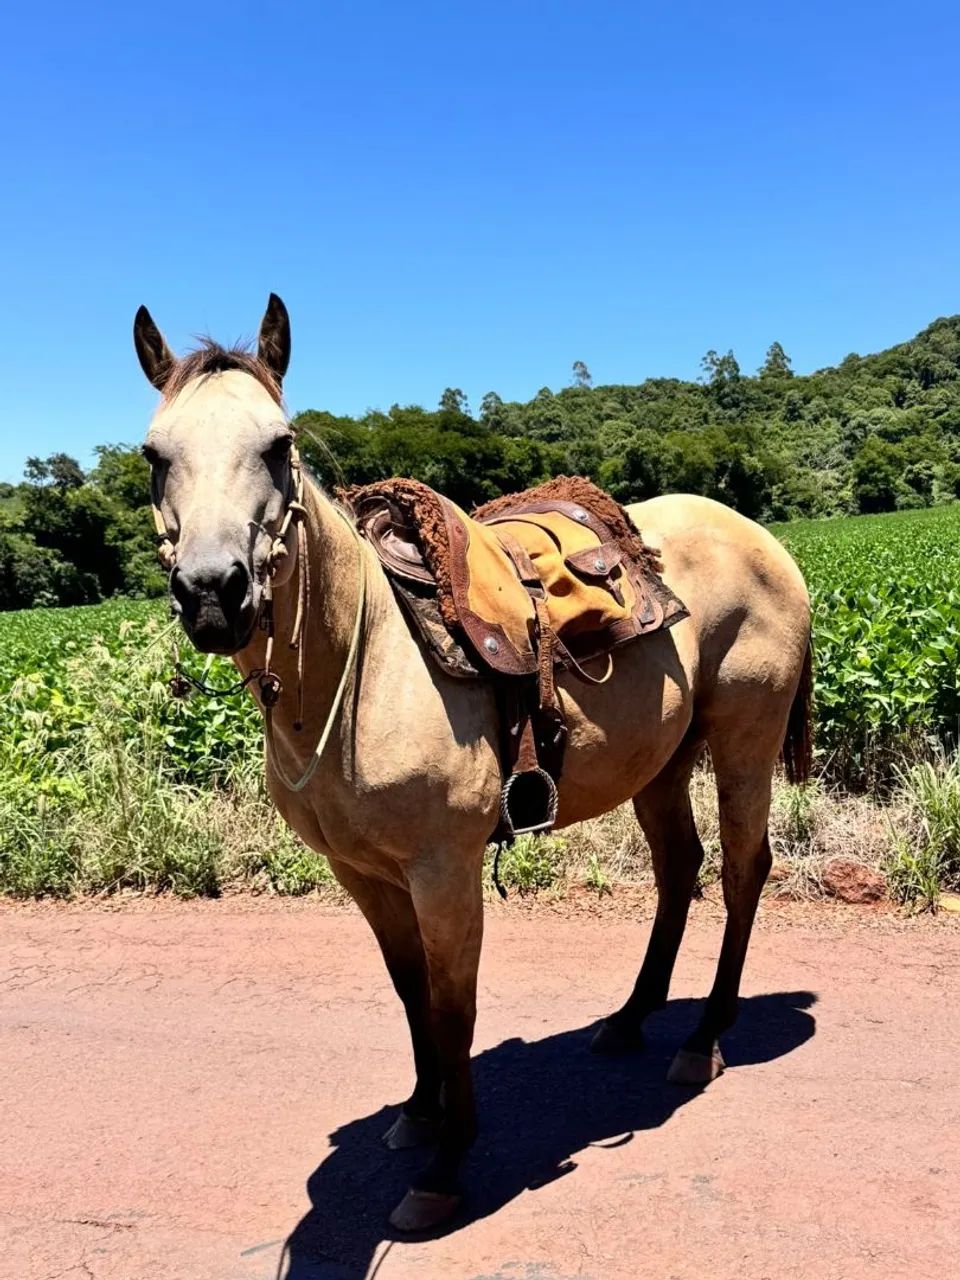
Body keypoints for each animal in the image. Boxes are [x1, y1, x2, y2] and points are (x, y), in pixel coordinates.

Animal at [134, 294, 812, 1232]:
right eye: (154, 456)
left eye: (279, 444)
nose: (212, 593)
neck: (363, 665)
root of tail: (759, 535)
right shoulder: (362, 873)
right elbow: (410, 989)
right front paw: (420, 1115)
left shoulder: (443, 871)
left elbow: (455, 1009)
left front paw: (447, 1165)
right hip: (662, 763)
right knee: (680, 869)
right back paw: (630, 1018)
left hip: (745, 738)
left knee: (745, 869)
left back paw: (703, 1037)